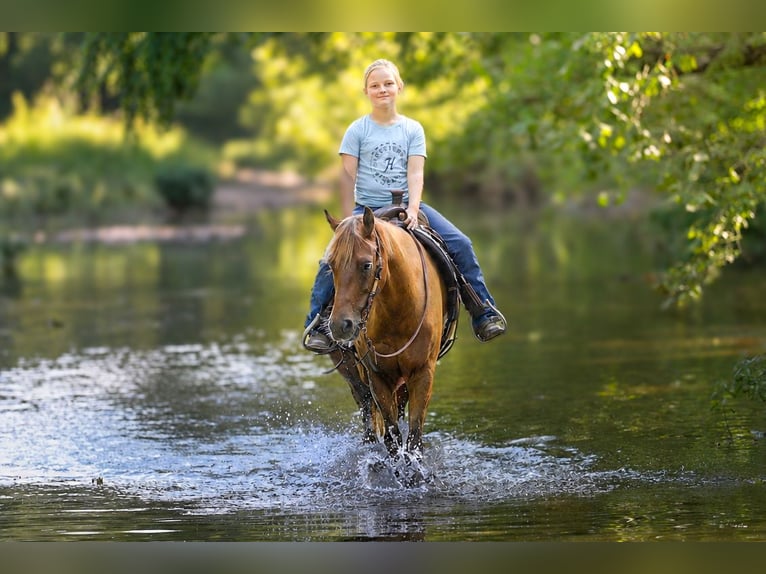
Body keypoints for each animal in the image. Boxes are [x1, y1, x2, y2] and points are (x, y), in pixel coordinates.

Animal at [323, 206, 447, 460]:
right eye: (330, 265)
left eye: (366, 265)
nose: (340, 326)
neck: (398, 309)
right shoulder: (377, 376)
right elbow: (392, 437)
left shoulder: (423, 372)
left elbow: (414, 439)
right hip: (352, 371)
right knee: (367, 414)